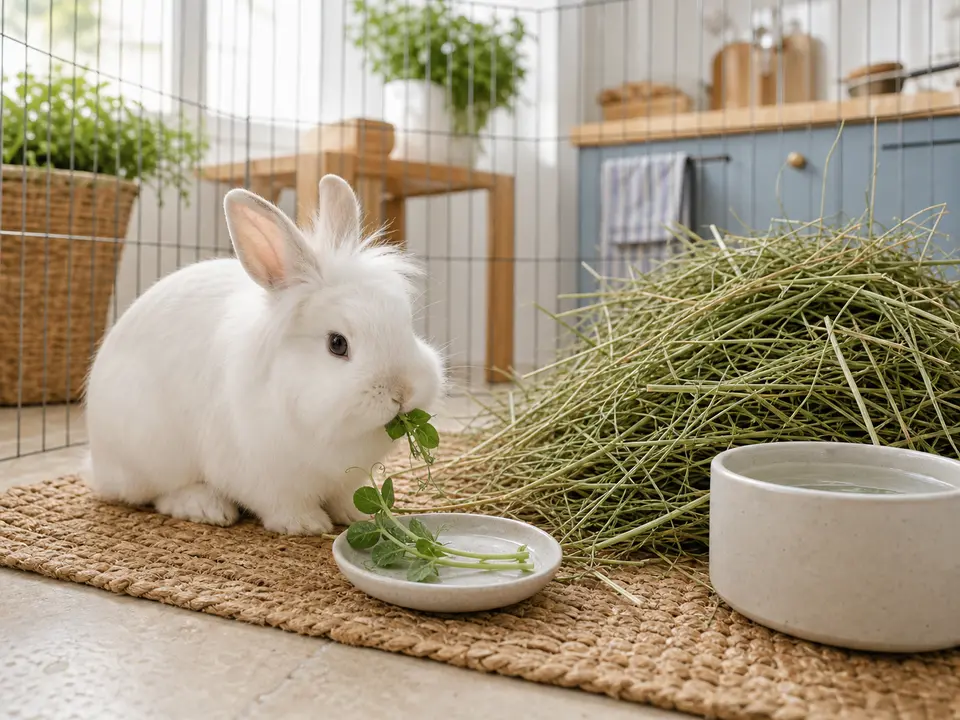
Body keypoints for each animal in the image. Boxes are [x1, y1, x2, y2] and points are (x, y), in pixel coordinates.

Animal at [79, 174, 445, 535]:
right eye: (337, 344)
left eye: (407, 324)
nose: (402, 391)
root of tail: (98, 464)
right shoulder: (264, 476)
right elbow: (282, 504)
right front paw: (306, 525)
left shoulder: (344, 479)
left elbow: (345, 498)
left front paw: (356, 516)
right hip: (153, 451)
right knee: (157, 493)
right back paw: (206, 507)